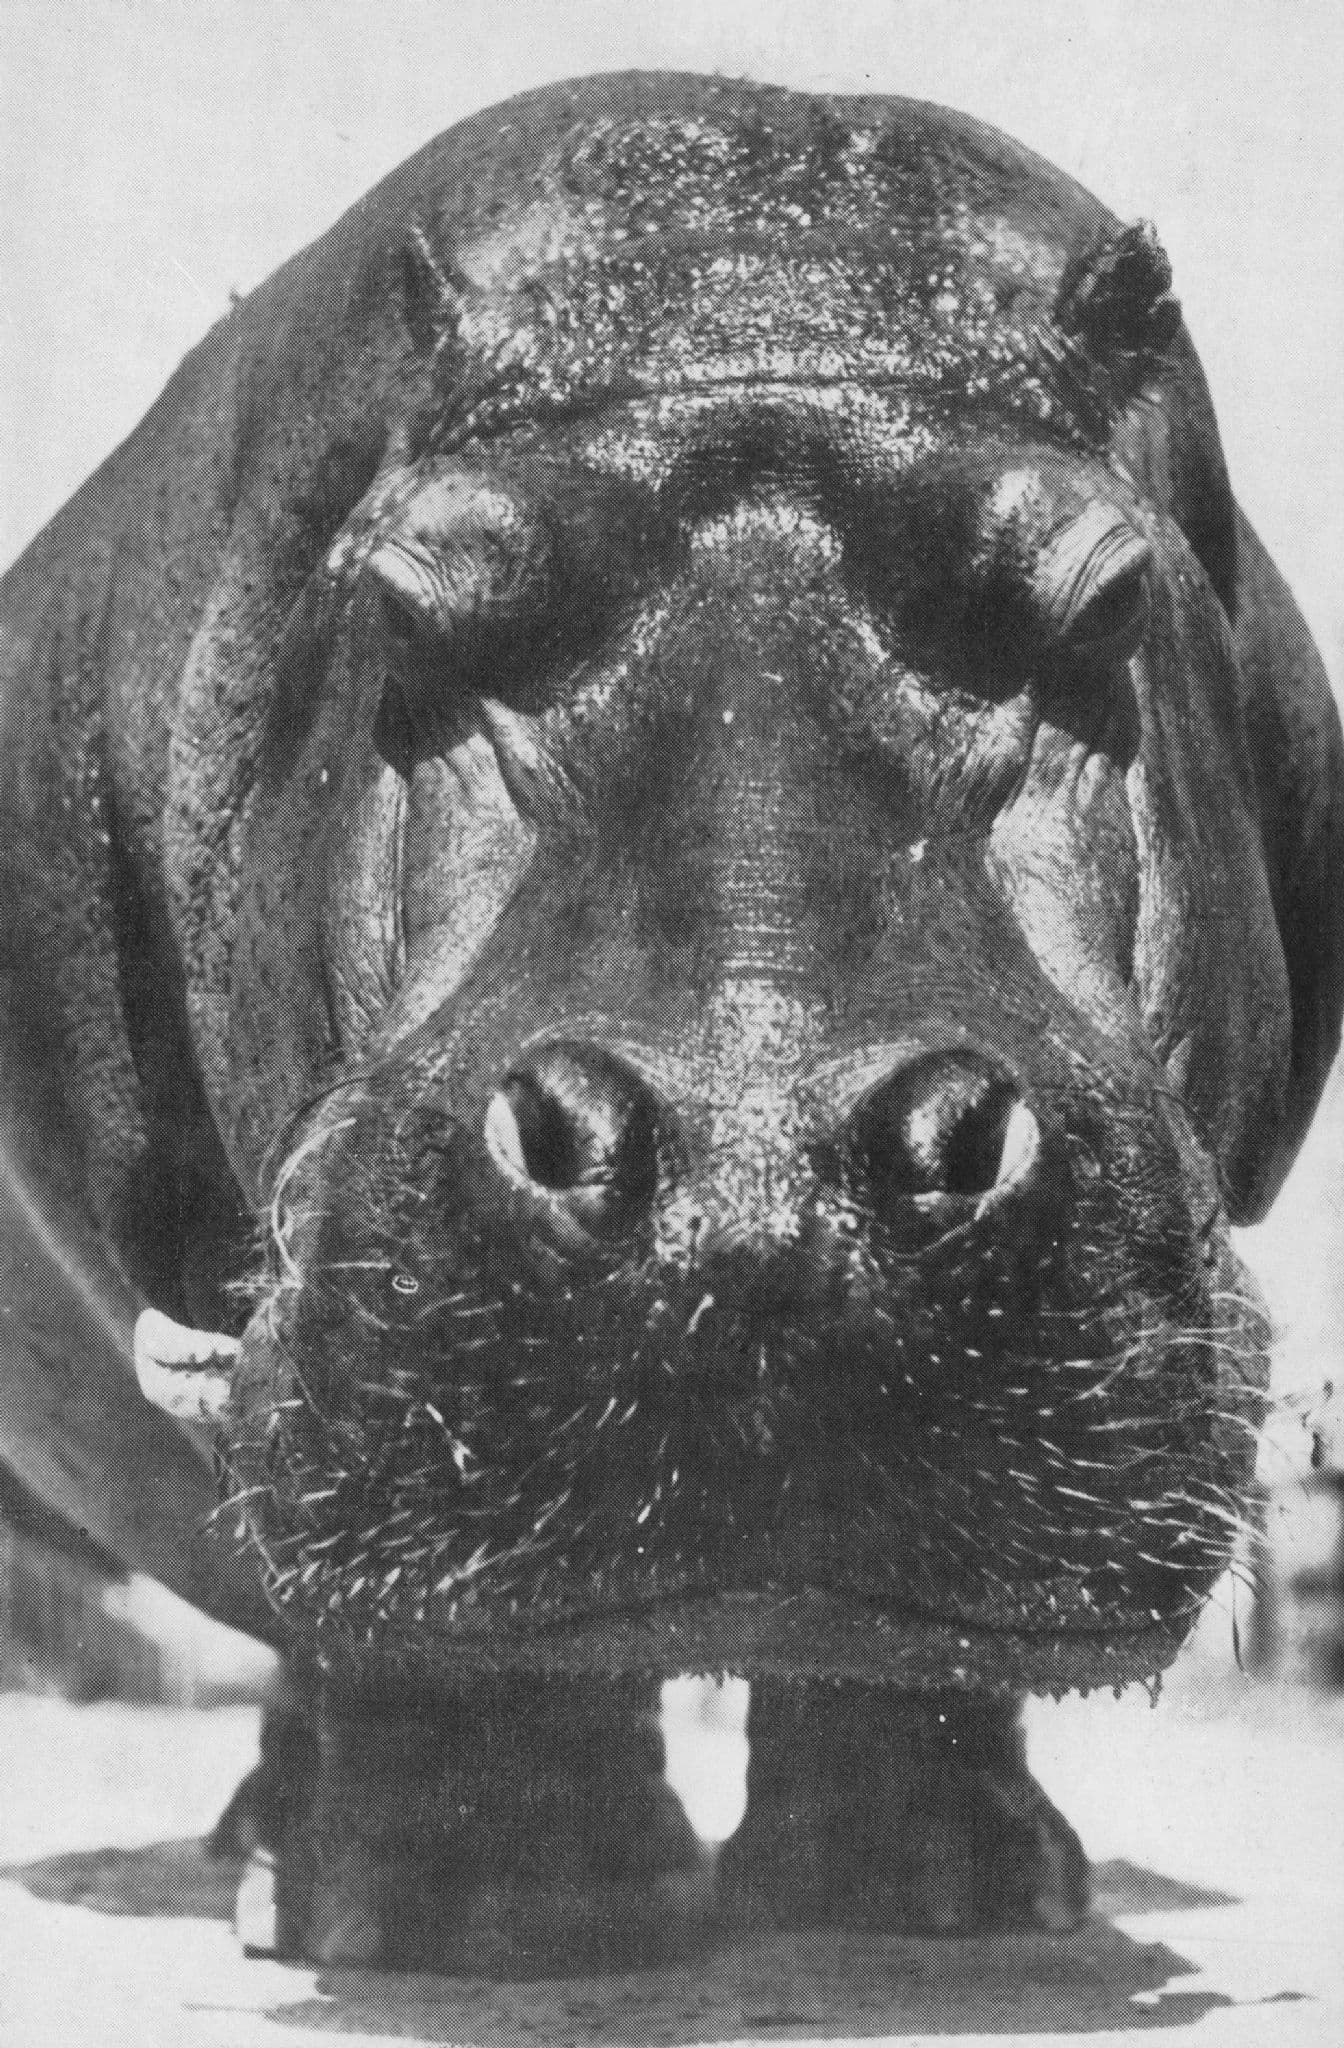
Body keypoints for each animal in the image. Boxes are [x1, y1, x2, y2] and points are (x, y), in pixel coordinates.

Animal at [1, 71, 1341, 1970]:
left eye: (1103, 594)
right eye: (406, 591)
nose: (751, 1179)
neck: (751, 294)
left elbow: (908, 1665)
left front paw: (949, 1908)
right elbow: (425, 1643)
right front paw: (499, 1919)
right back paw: (286, 1870)